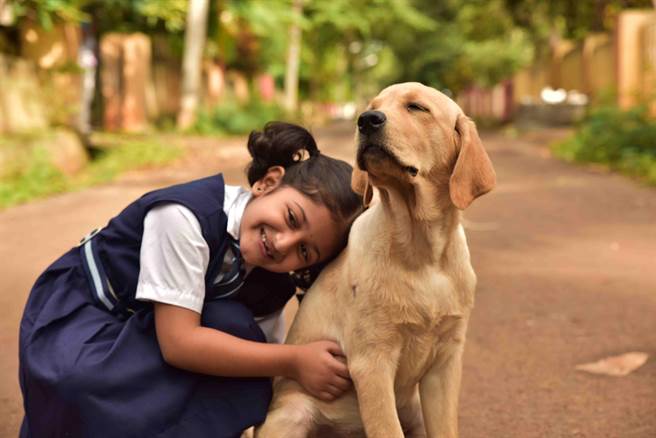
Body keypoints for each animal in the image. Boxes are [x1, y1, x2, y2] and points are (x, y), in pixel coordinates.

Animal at [256, 83, 498, 438]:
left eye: (417, 107)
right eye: (373, 105)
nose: (366, 120)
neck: (423, 252)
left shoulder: (446, 362)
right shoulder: (372, 361)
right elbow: (387, 429)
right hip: (293, 414)